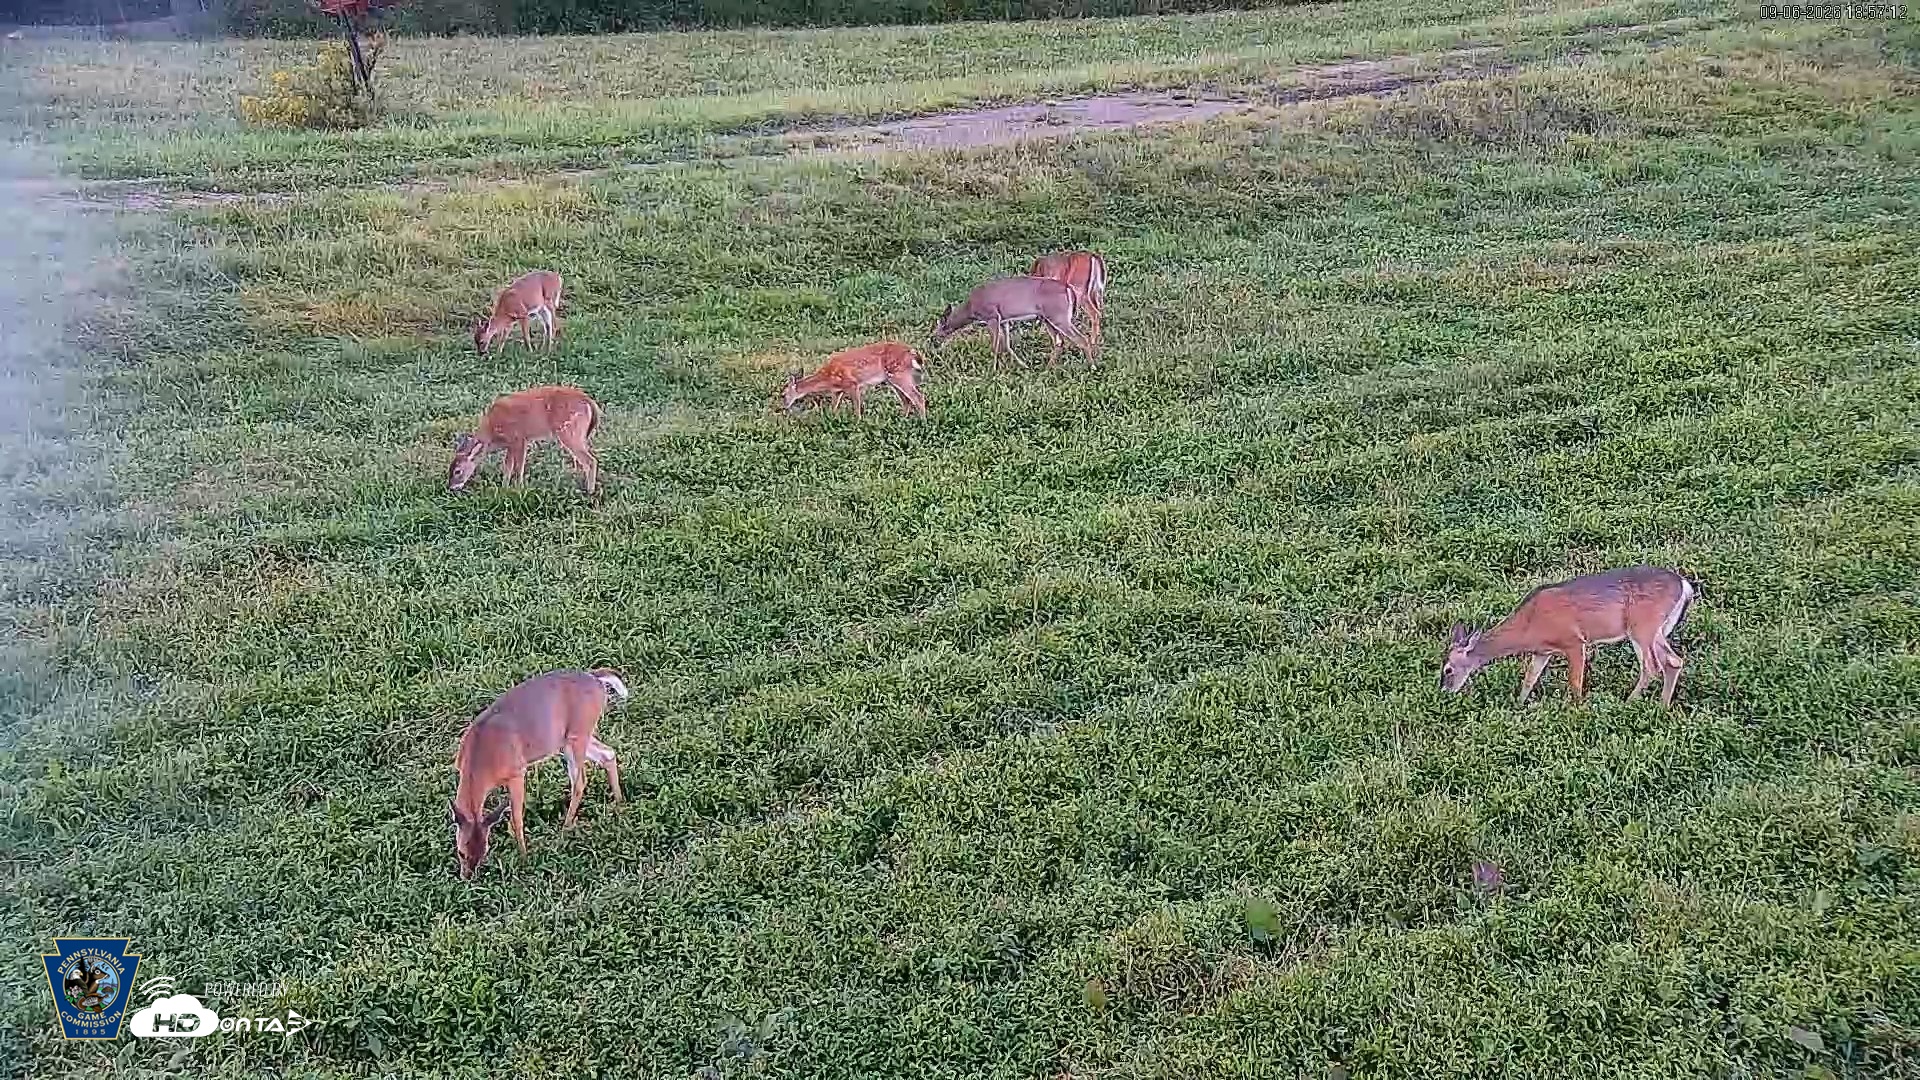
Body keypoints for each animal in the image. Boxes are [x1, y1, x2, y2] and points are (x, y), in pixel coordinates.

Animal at [448, 384, 602, 494]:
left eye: (457, 471)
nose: (451, 487)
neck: (493, 432)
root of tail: (590, 402)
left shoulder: (519, 438)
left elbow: (519, 467)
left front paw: (518, 489)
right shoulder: (511, 444)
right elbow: (507, 466)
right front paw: (504, 488)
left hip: (568, 431)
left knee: (590, 460)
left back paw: (589, 492)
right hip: (580, 434)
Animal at [450, 668, 630, 879]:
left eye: (484, 851)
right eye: (461, 851)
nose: (467, 877)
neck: (480, 760)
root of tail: (596, 678)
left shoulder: (517, 772)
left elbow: (516, 819)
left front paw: (524, 857)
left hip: (578, 734)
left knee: (579, 781)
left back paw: (565, 830)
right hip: (569, 739)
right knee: (608, 754)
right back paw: (619, 803)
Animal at [780, 341, 928, 419]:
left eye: (783, 394)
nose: (784, 406)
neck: (827, 378)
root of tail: (911, 352)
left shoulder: (852, 384)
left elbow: (856, 408)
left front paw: (857, 422)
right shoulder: (837, 391)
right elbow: (833, 408)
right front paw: (833, 419)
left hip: (898, 374)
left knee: (918, 397)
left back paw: (923, 421)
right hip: (892, 379)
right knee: (907, 400)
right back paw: (903, 419)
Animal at [930, 275, 1096, 369]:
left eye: (938, 329)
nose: (933, 342)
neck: (971, 307)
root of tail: (1068, 288)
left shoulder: (992, 316)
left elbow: (995, 347)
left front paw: (993, 371)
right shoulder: (1004, 320)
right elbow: (1007, 345)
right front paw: (1023, 365)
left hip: (1058, 315)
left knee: (1081, 338)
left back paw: (1092, 366)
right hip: (1047, 318)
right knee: (1059, 342)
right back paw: (1048, 368)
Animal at [1440, 566, 1699, 707]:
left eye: (1448, 669)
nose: (1444, 692)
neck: (1529, 626)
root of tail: (1685, 585)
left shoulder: (1573, 641)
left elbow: (1574, 683)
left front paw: (1576, 711)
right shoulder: (1542, 651)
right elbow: (1529, 679)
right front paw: (1518, 705)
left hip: (1642, 627)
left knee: (1652, 666)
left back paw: (1628, 703)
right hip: (1657, 630)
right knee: (1673, 661)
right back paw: (1662, 707)